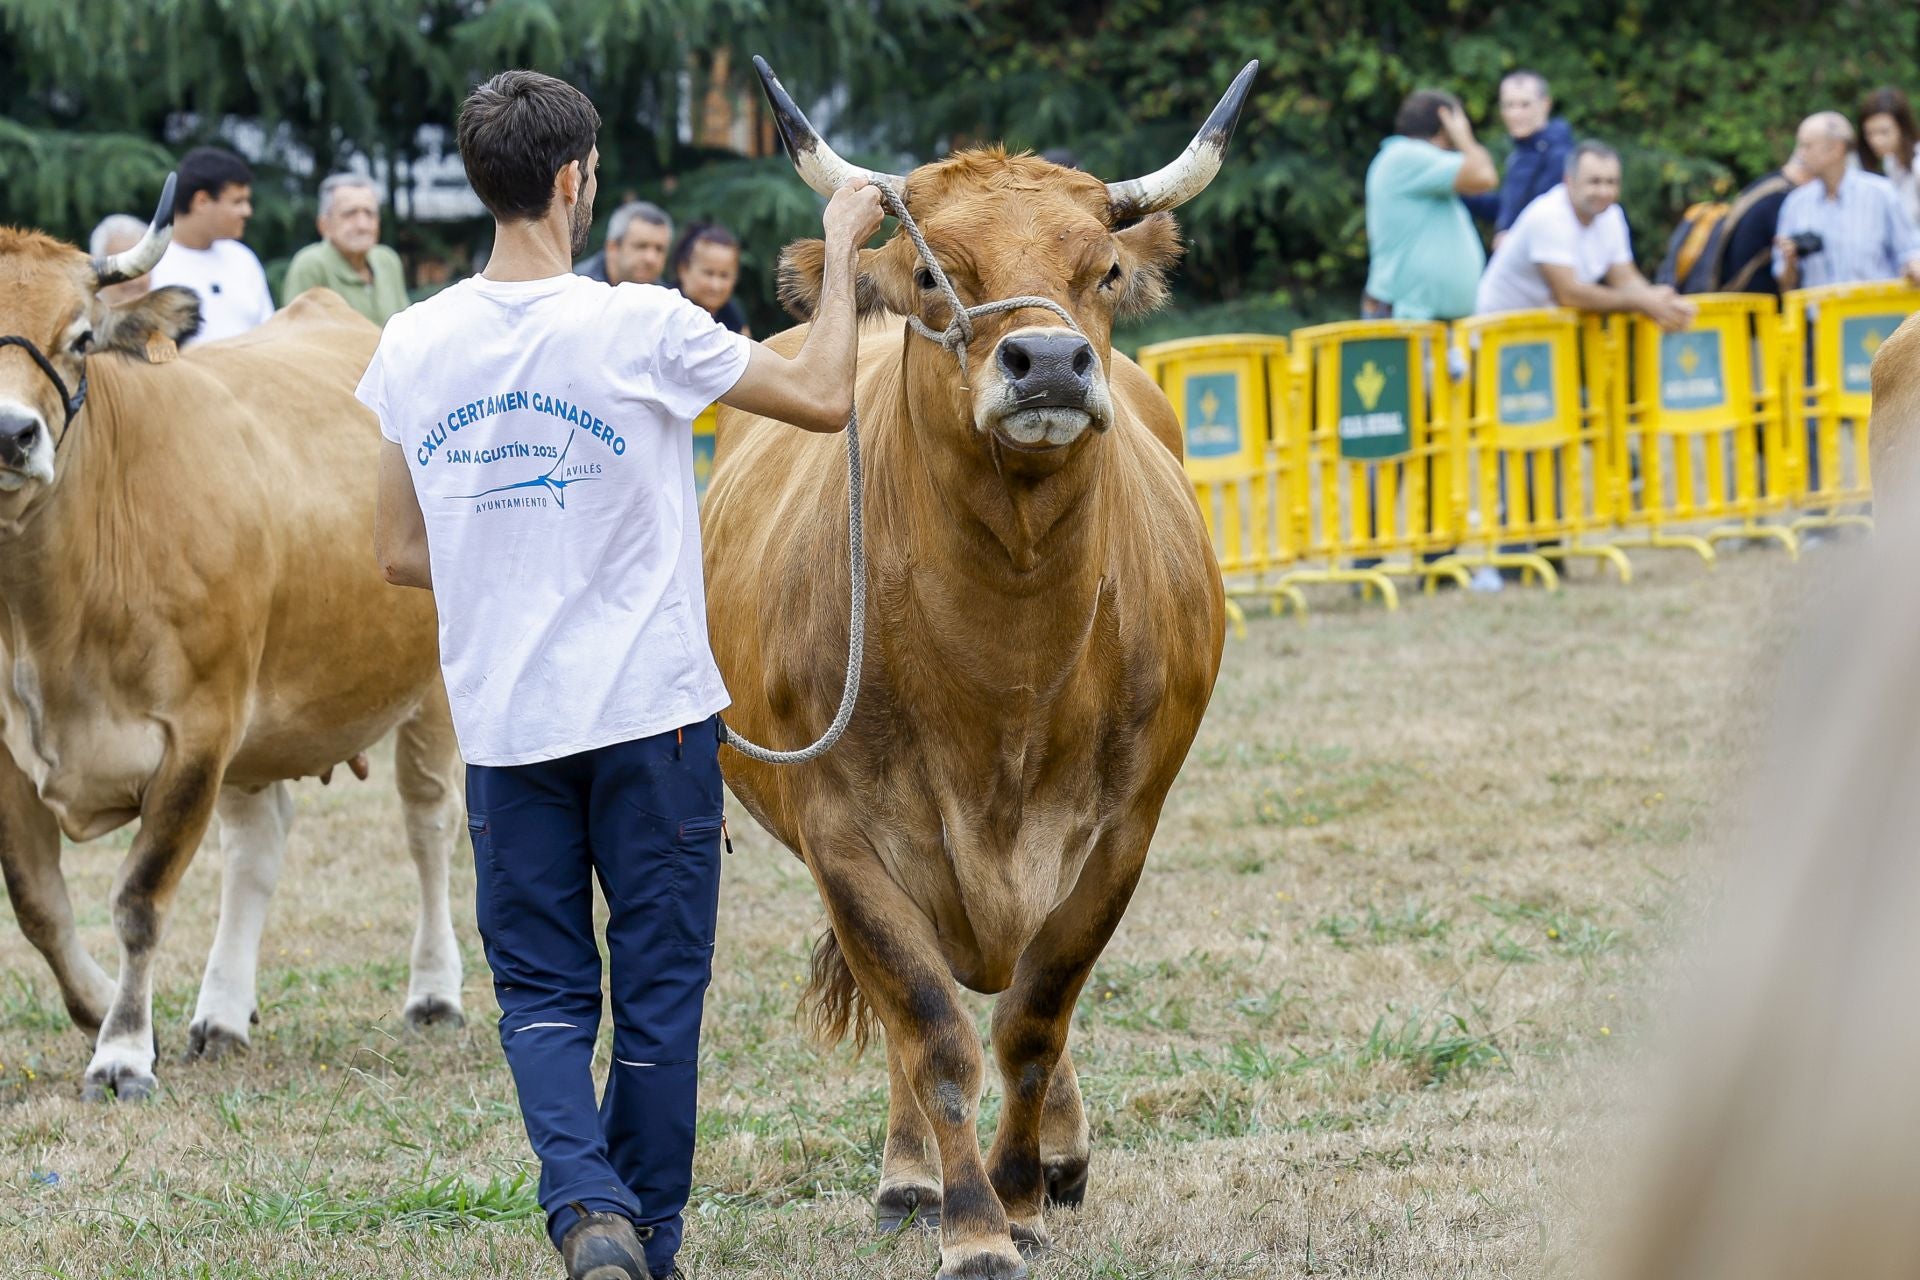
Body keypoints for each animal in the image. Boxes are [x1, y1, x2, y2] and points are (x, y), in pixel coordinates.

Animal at [0, 182, 464, 1101]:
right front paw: (105, 1009)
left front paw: (121, 1051)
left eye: (80, 337)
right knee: (259, 843)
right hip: (262, 716)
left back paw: (434, 991)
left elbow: (139, 898)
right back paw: (221, 1013)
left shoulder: (197, 732)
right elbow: (39, 906)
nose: (10, 435)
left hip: (428, 693)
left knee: (429, 824)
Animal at [702, 60, 1250, 1279]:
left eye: (1102, 270)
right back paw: (911, 1173)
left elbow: (1035, 1019)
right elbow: (932, 1028)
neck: (1007, 676)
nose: (1047, 361)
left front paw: (1024, 1191)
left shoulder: (1122, 830)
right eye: (932, 271)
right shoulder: (848, 840)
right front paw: (972, 1221)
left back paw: (1059, 1157)